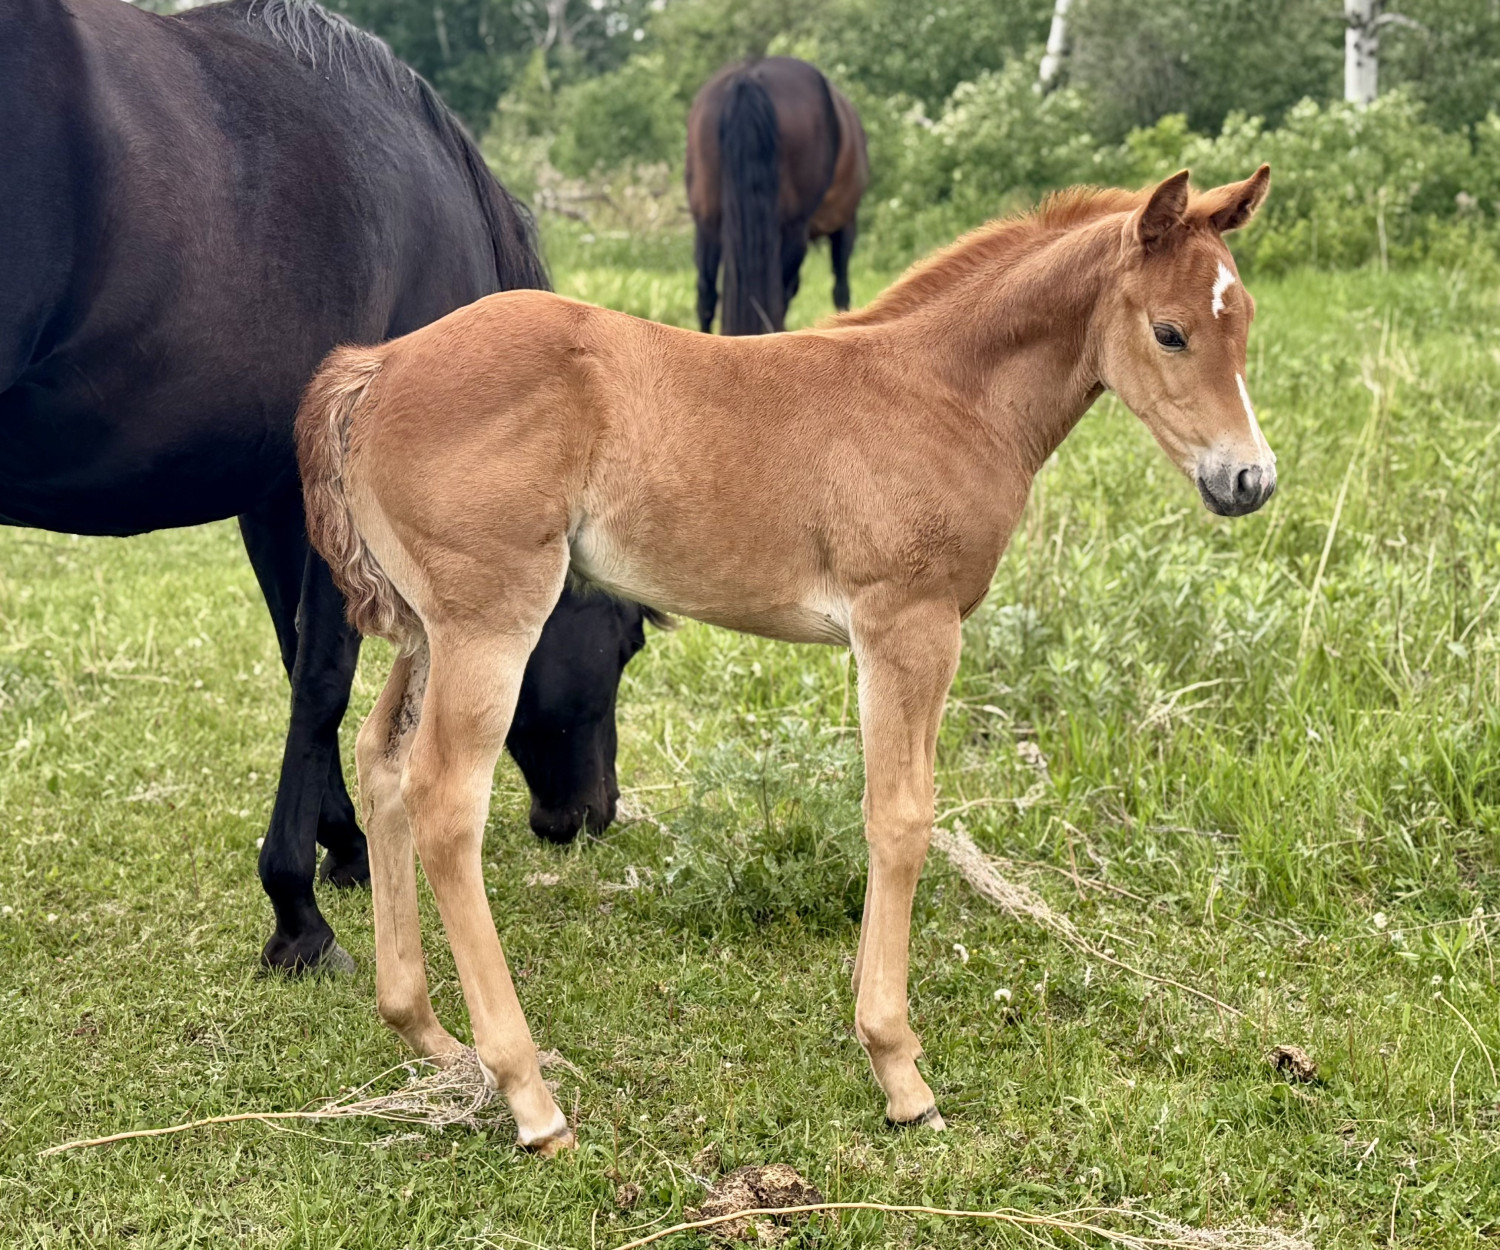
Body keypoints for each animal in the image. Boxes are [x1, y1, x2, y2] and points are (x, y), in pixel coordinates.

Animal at [1, 0, 655, 974]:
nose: (592, 814)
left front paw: (341, 848)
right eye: (624, 644)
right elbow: (323, 680)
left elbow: (295, 662)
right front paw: (298, 914)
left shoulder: (277, 497)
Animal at [296, 166, 1276, 1150]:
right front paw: (899, 1069)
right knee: (444, 798)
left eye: (1245, 321)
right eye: (1170, 330)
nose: (1250, 481)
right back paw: (528, 1093)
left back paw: (427, 1032)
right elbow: (902, 820)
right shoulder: (908, 626)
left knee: (381, 762)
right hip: (490, 620)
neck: (946, 395)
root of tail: (375, 369)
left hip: (428, 628)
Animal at [687, 57, 869, 336]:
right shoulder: (845, 224)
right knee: (784, 294)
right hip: (794, 229)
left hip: (706, 220)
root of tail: (750, 77)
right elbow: (841, 289)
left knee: (706, 294)